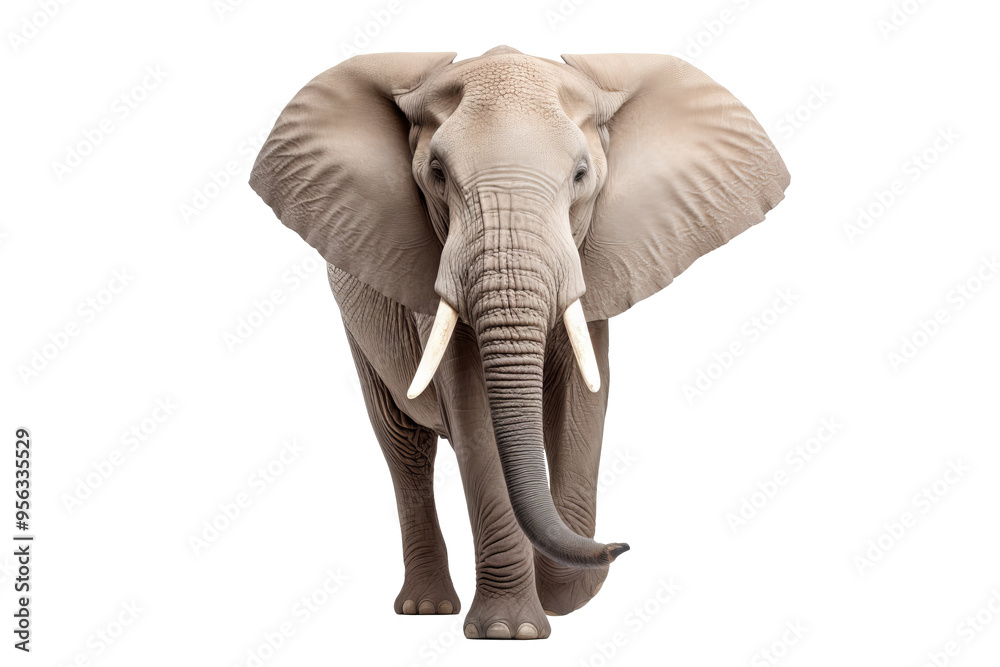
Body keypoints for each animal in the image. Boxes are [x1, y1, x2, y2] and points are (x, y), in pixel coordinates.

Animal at [249, 45, 789, 640]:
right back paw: (426, 608)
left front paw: (553, 596)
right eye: (437, 173)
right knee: (403, 444)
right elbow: (474, 415)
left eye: (581, 175)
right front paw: (512, 632)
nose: (621, 545)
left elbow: (582, 406)